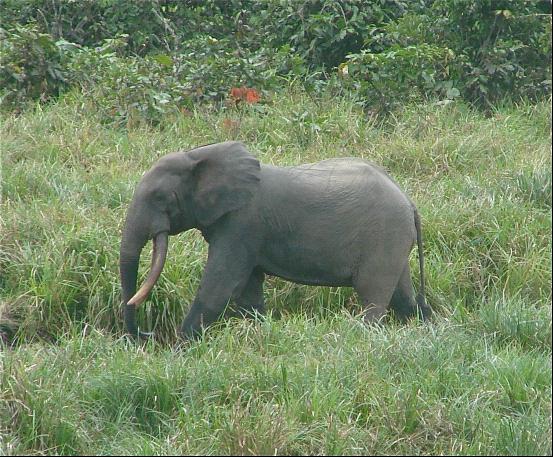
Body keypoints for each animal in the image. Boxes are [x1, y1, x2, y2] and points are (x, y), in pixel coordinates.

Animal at [119, 142, 432, 338]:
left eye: (159, 197)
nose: (146, 333)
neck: (199, 154)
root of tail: (411, 203)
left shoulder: (241, 224)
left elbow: (220, 285)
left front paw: (180, 349)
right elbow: (248, 290)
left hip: (385, 236)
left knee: (373, 297)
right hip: (394, 240)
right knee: (403, 296)